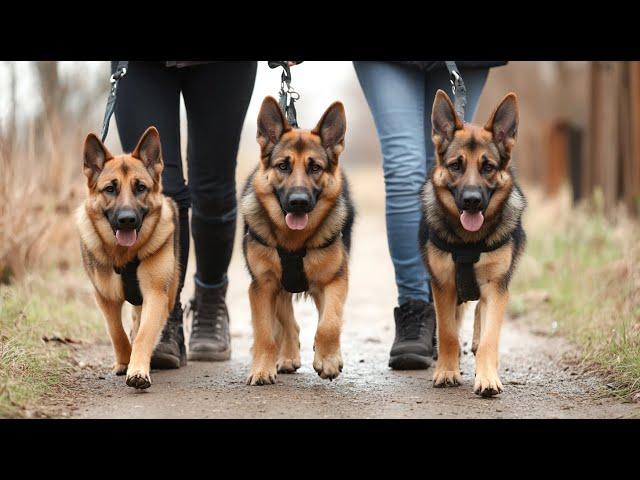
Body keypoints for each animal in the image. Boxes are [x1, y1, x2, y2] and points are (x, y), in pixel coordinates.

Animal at [77, 127, 180, 390]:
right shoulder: (104, 296)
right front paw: (124, 361)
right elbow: (116, 332)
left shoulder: (155, 295)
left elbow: (144, 334)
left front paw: (138, 370)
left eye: (140, 187)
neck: (125, 255)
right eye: (110, 189)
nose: (127, 220)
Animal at [242, 96, 358, 386]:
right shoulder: (262, 287)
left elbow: (329, 323)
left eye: (315, 167)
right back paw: (286, 357)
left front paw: (328, 360)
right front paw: (262, 368)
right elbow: (265, 333)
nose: (298, 202)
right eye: (283, 166)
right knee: (288, 324)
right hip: (280, 287)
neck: (293, 242)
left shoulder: (335, 280)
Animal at [420, 90, 524, 398]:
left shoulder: (497, 286)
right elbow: (448, 333)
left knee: (481, 314)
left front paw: (487, 377)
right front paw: (446, 370)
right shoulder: (443, 286)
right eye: (456, 165)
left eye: (488, 167)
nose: (472, 201)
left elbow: (491, 336)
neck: (469, 242)